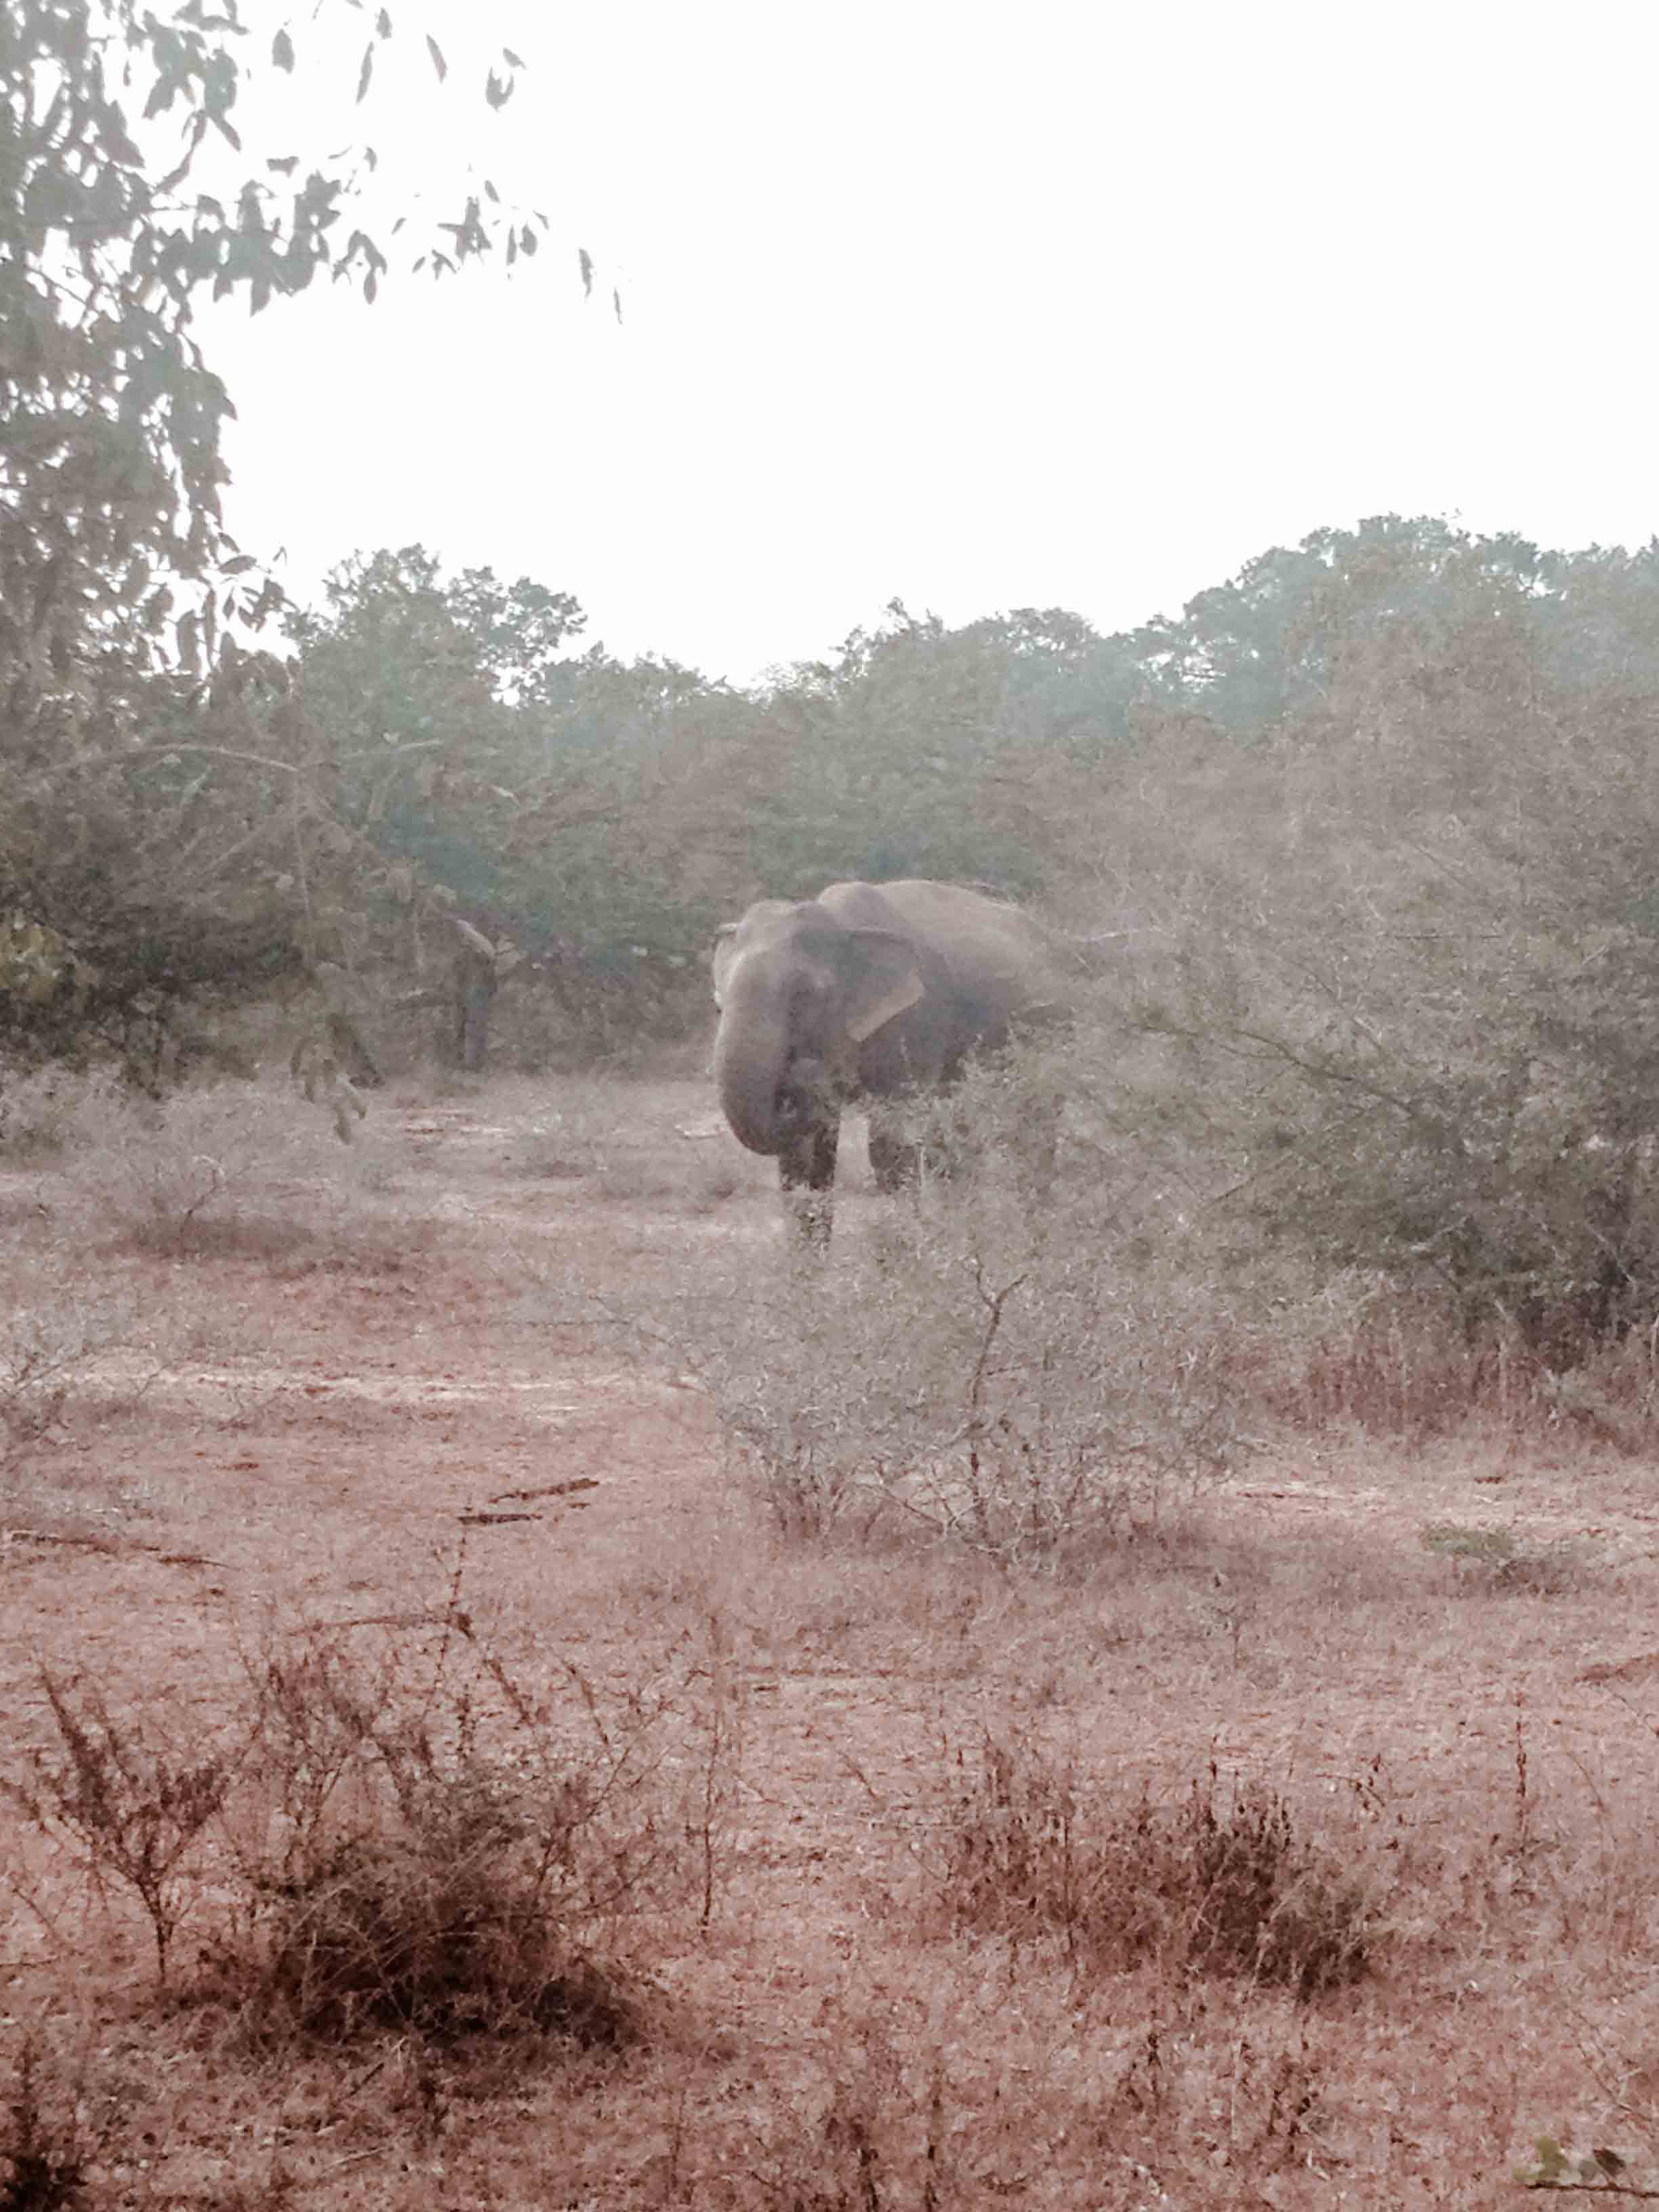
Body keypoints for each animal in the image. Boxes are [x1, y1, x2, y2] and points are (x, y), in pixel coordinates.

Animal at [708, 872, 1070, 1238]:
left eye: (806, 994)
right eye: (719, 1004)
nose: (804, 1075)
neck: (843, 922)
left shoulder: (915, 1020)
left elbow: (891, 1147)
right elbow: (803, 1162)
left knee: (1033, 1132)